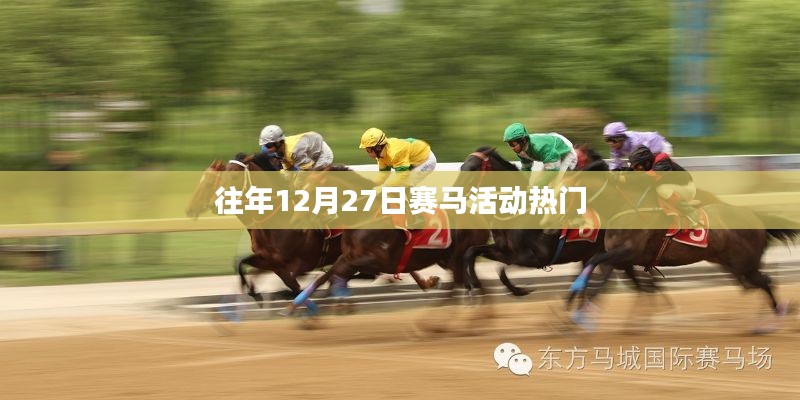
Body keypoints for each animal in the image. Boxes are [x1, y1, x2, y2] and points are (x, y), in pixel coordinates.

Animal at [570, 165, 800, 332]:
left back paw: (771, 321)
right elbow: (599, 276)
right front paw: (579, 311)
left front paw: (578, 306)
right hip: (733, 265)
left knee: (766, 282)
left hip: (745, 264)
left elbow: (596, 264)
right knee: (754, 285)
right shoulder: (619, 258)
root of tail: (756, 217)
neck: (626, 208)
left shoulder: (627, 252)